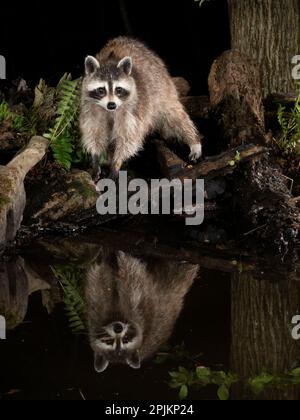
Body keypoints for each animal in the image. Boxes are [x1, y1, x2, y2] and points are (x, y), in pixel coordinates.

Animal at [79, 37, 203, 180]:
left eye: (118, 89)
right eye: (101, 90)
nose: (111, 104)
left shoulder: (133, 109)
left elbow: (128, 138)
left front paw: (116, 163)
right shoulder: (90, 108)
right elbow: (94, 133)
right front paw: (95, 158)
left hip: (162, 87)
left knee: (174, 115)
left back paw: (193, 139)